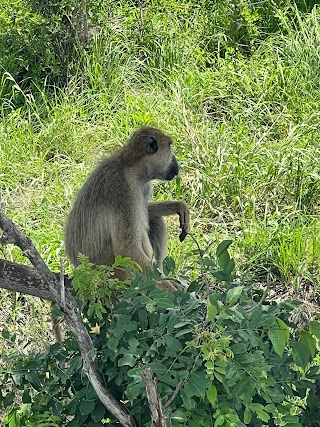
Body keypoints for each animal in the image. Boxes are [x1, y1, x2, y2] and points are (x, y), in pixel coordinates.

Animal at [65, 126, 190, 288]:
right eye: (170, 146)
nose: (178, 164)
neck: (131, 167)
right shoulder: (123, 191)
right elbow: (128, 249)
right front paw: (171, 290)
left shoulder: (143, 188)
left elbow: (146, 211)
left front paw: (178, 205)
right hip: (114, 273)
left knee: (154, 220)